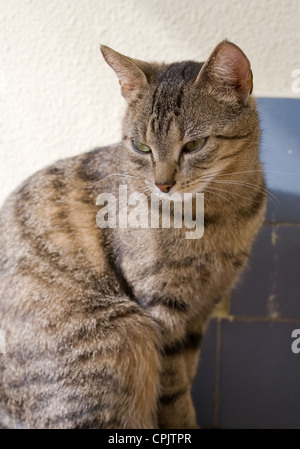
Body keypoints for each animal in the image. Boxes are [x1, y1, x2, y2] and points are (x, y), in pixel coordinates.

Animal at [0, 39, 268, 428]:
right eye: (141, 147)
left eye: (194, 145)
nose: (162, 184)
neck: (218, 214)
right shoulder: (161, 309)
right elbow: (174, 395)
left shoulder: (201, 312)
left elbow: (187, 377)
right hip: (126, 335)